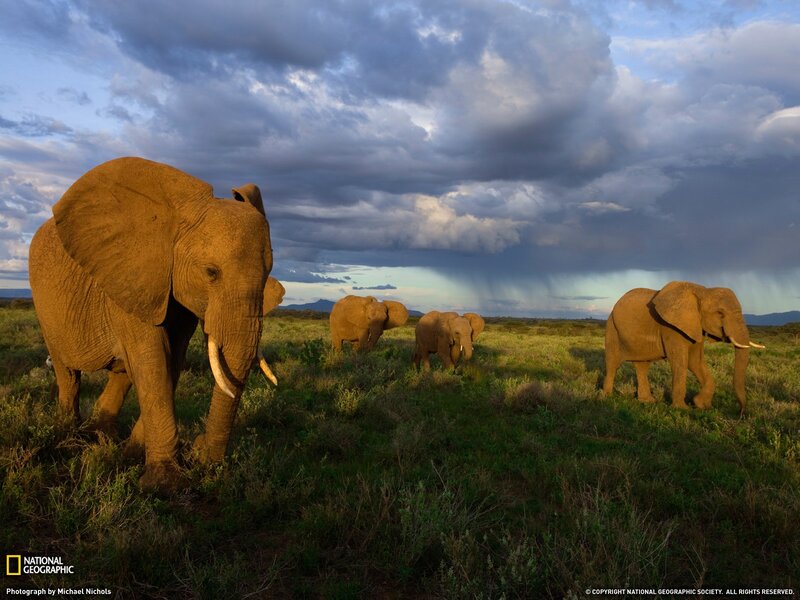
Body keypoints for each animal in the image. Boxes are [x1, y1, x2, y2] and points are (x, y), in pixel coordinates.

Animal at [29, 157, 276, 492]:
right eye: (211, 272)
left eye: (268, 275)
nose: (200, 451)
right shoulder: (132, 277)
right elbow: (153, 361)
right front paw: (163, 484)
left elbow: (171, 361)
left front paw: (136, 458)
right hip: (46, 309)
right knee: (68, 373)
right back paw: (69, 438)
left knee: (122, 372)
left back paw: (103, 439)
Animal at [602, 281, 765, 415]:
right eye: (720, 313)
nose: (741, 413)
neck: (703, 291)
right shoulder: (670, 327)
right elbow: (680, 361)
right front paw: (682, 409)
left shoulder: (696, 326)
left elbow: (695, 361)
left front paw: (701, 405)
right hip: (612, 328)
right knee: (613, 363)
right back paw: (606, 397)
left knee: (642, 365)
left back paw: (647, 401)